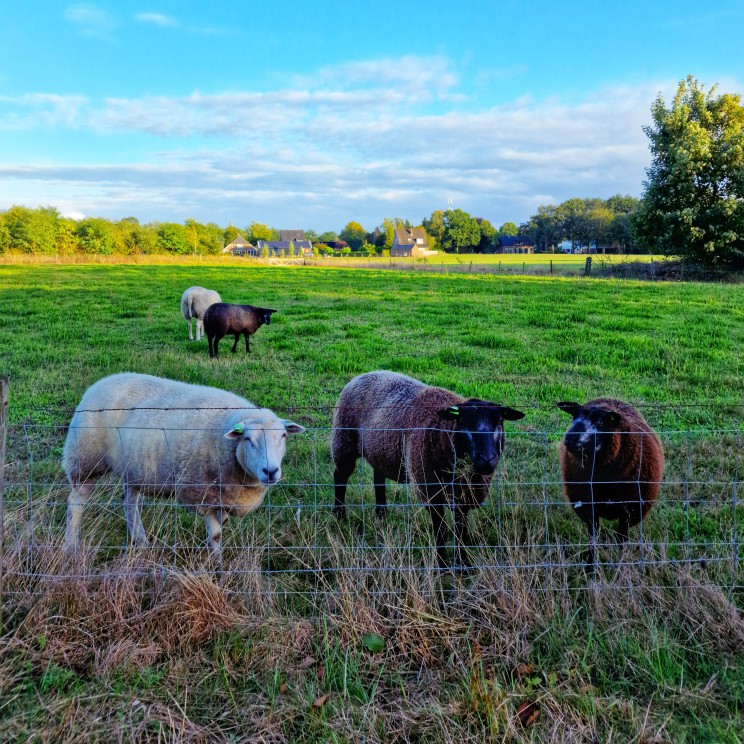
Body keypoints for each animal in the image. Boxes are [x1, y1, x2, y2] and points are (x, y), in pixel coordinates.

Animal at [63, 372, 306, 552]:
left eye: (283, 436)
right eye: (247, 439)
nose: (270, 471)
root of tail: (101, 382)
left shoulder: (222, 498)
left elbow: (223, 525)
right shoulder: (201, 494)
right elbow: (216, 535)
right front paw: (217, 569)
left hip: (134, 467)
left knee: (129, 503)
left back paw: (142, 541)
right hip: (85, 459)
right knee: (75, 503)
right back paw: (71, 547)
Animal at [328, 372, 528, 568]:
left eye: (499, 423)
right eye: (463, 423)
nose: (487, 460)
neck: (442, 432)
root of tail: (364, 374)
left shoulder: (463, 497)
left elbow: (460, 530)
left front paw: (462, 563)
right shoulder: (431, 491)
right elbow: (441, 531)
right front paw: (442, 563)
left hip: (379, 450)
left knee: (378, 477)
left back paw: (382, 514)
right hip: (344, 440)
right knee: (340, 476)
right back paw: (339, 514)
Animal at [556, 402, 664, 568]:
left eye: (601, 423)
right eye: (574, 417)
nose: (570, 439)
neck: (604, 480)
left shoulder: (628, 511)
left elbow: (622, 540)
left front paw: (621, 565)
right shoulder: (589, 509)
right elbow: (592, 539)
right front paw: (591, 567)